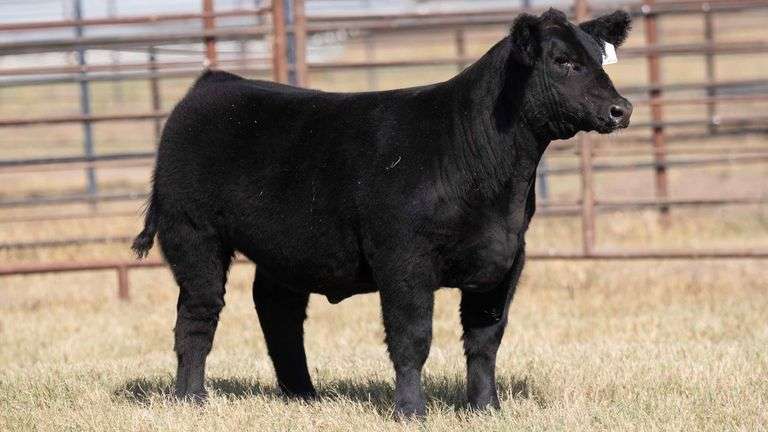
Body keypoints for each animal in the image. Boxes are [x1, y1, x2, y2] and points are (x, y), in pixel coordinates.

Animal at [132, 8, 632, 417]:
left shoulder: (507, 257)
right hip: (193, 235)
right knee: (197, 315)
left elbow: (485, 340)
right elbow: (412, 339)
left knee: (278, 312)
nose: (621, 108)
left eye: (600, 59)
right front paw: (410, 411)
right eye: (563, 61)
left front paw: (487, 408)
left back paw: (303, 396)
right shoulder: (403, 260)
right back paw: (191, 399)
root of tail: (216, 82)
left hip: (285, 250)